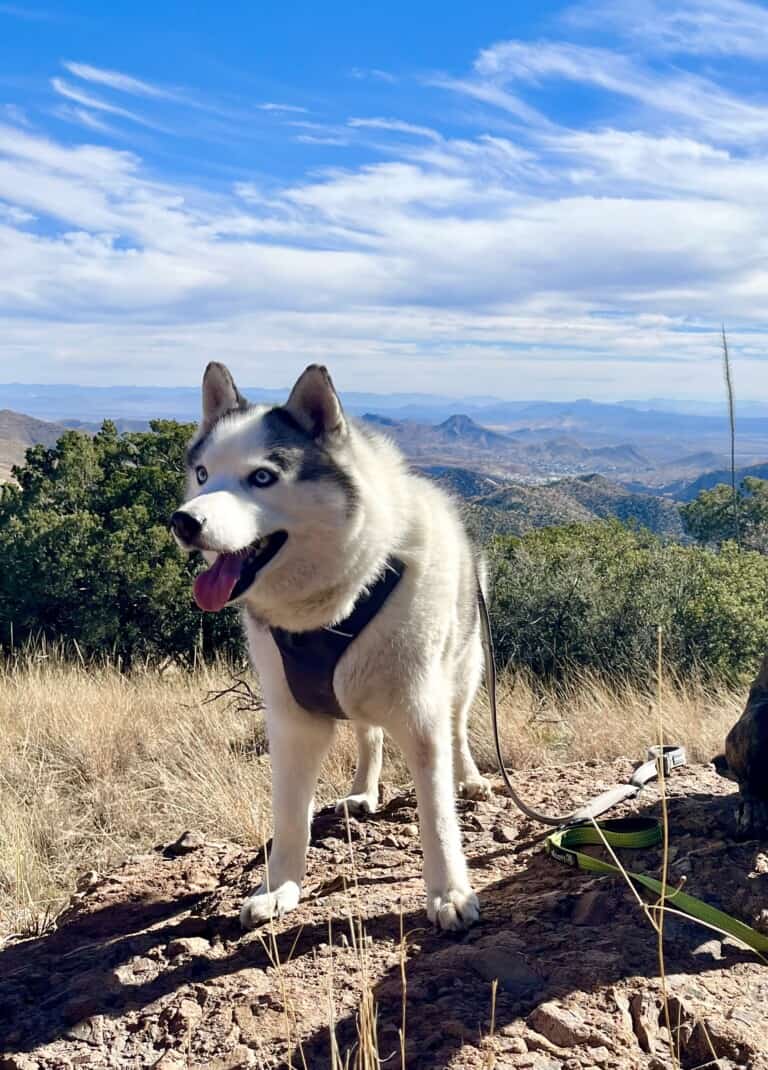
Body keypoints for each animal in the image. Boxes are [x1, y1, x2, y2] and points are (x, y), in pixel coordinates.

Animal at [172, 361, 489, 928]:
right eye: (204, 474)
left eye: (262, 477)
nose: (184, 521)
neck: (330, 604)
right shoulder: (291, 723)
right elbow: (289, 818)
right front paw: (280, 887)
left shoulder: (421, 717)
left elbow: (436, 813)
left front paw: (448, 892)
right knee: (369, 734)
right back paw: (363, 792)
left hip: (462, 673)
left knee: (458, 731)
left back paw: (470, 779)